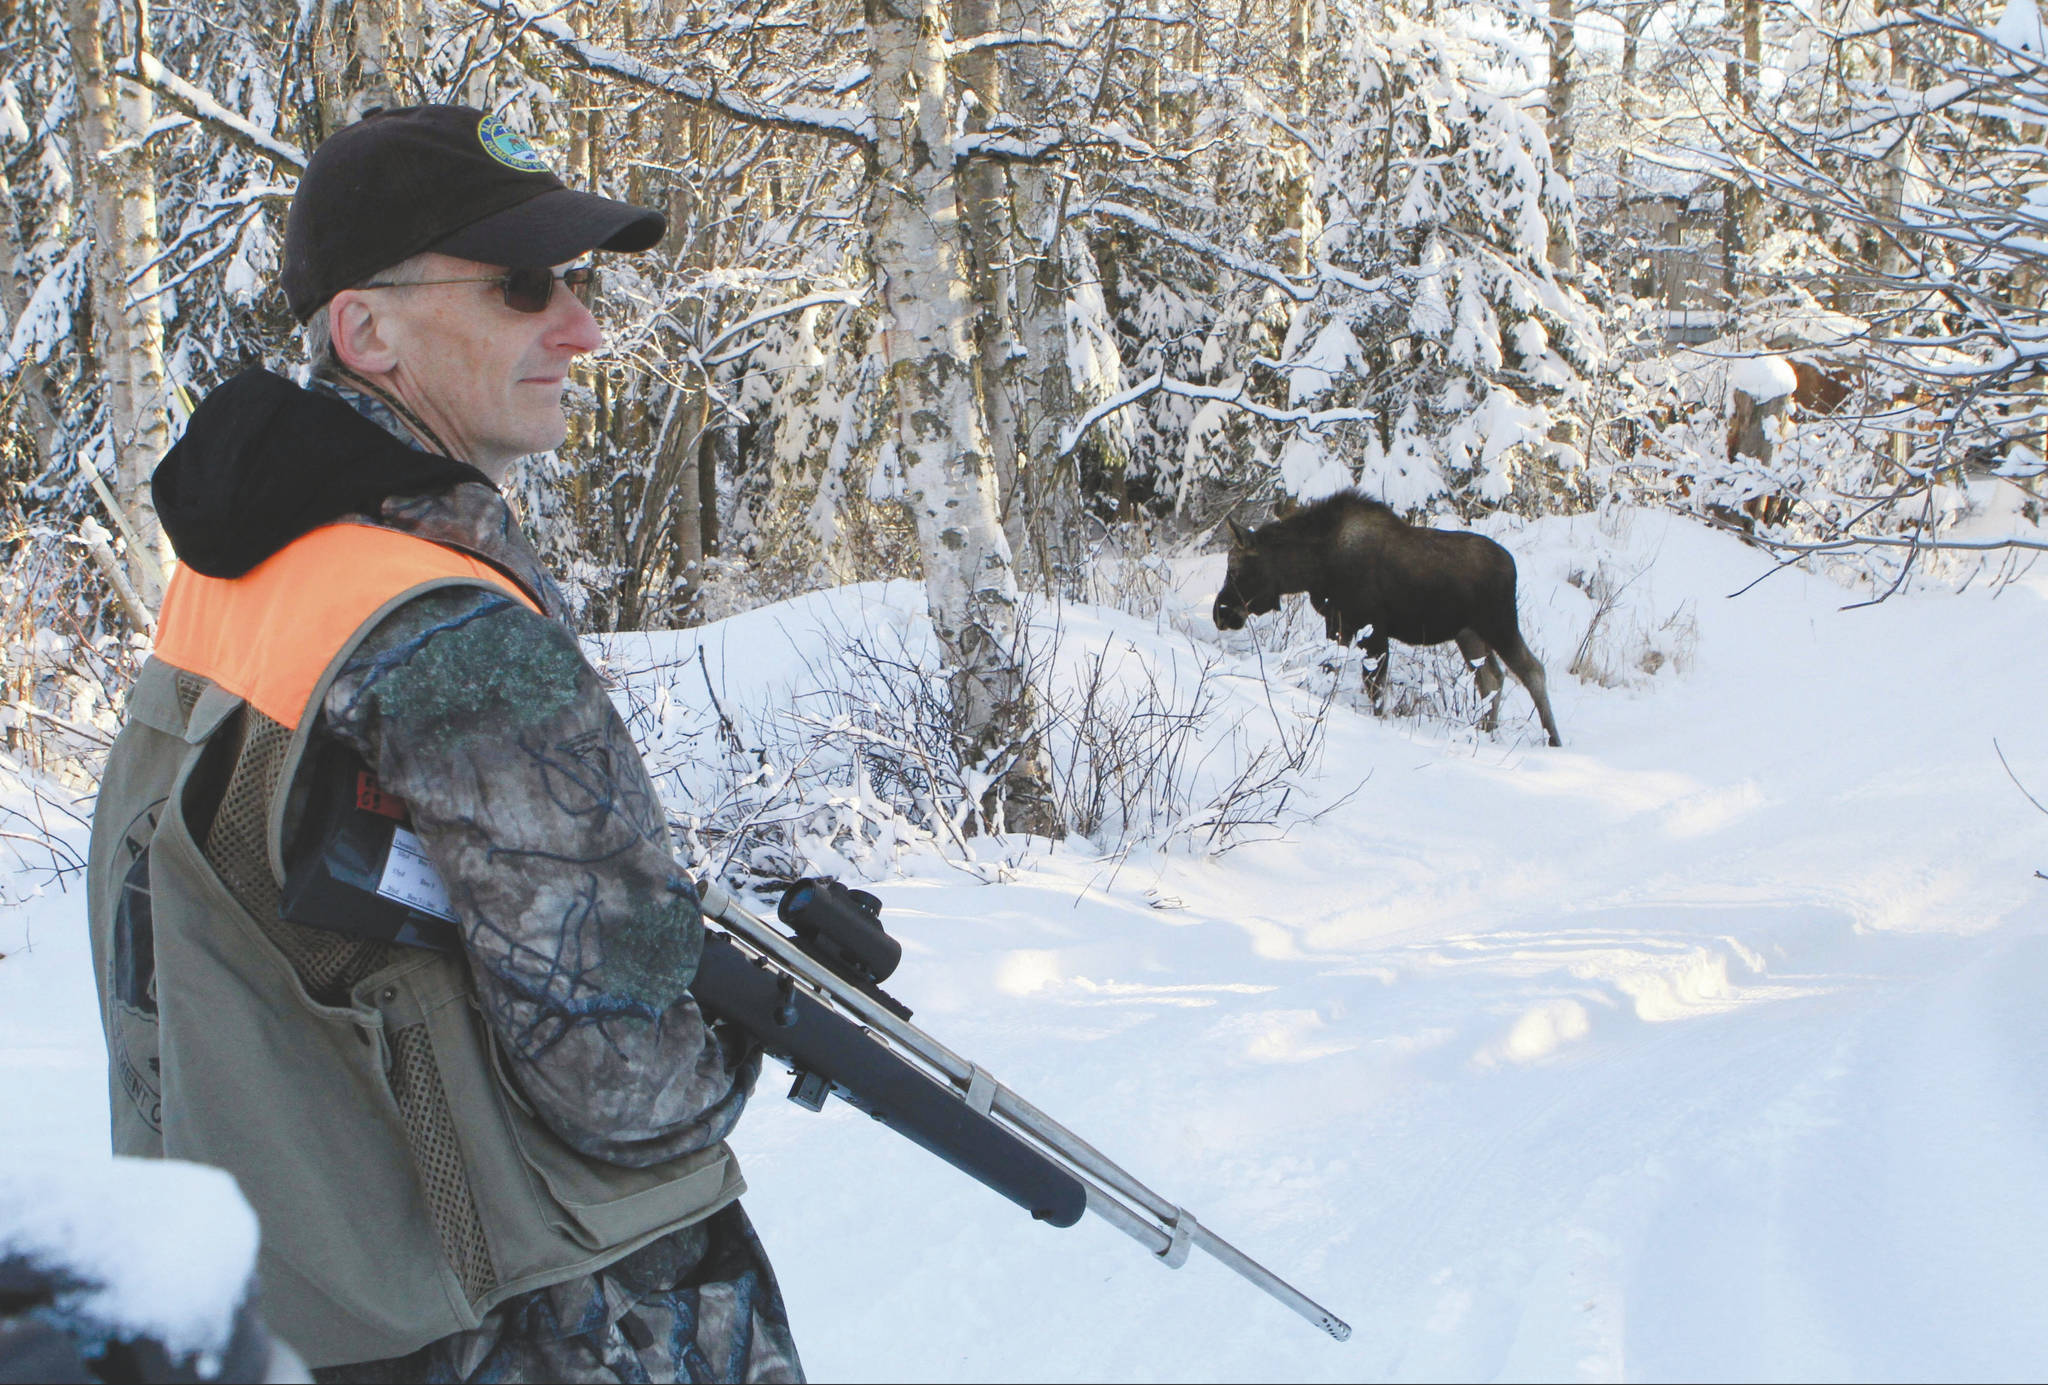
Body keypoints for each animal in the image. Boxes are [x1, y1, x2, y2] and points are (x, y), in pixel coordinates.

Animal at [1204, 489, 1556, 745]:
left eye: (1236, 569)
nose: (1221, 612)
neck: (1314, 568)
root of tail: (1511, 565)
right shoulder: (1339, 623)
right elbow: (1331, 669)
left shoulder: (1372, 628)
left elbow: (1374, 687)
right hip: (1468, 634)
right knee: (1491, 678)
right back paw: (1487, 731)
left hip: (1499, 623)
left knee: (1532, 670)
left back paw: (1552, 738)